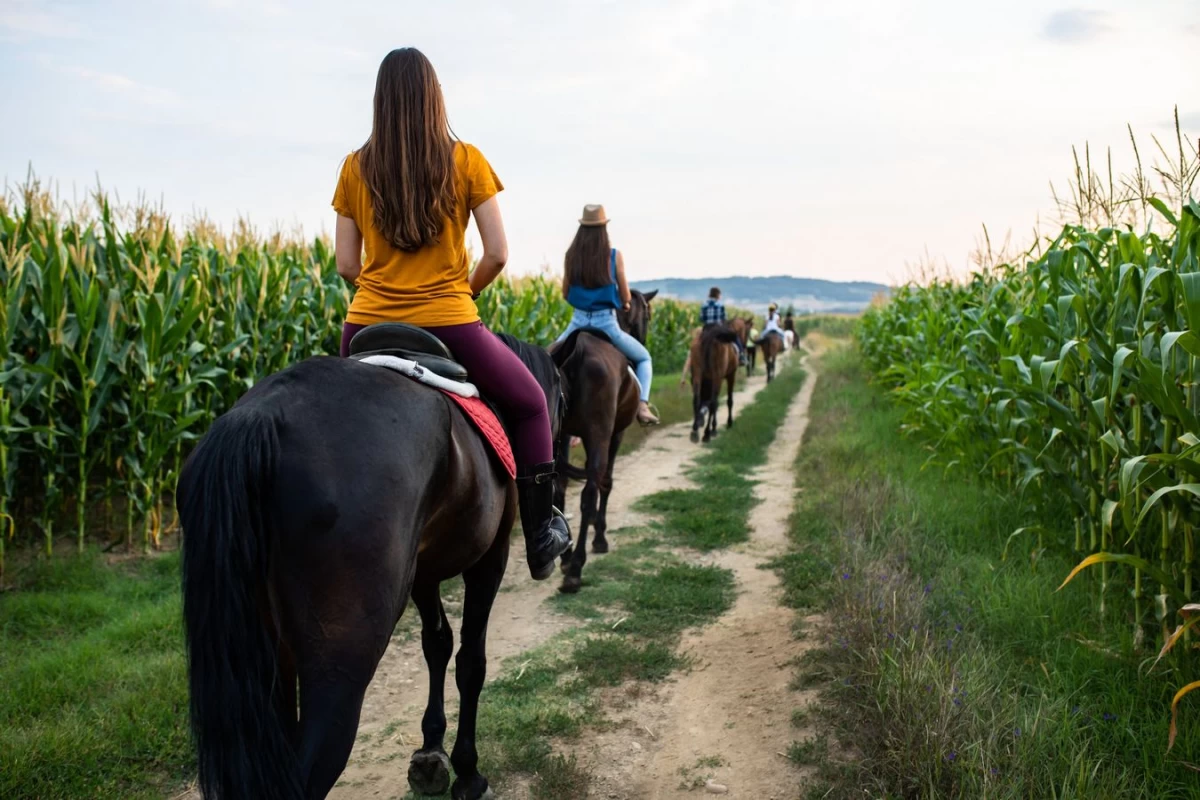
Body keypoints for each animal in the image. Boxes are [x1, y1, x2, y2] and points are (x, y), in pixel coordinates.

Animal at [176, 335, 561, 800]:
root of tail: (261, 417)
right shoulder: (490, 557)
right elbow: (472, 661)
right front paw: (468, 772)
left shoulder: (423, 571)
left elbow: (437, 645)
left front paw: (431, 753)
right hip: (341, 659)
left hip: (266, 657)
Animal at [549, 289, 657, 594]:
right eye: (648, 314)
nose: (644, 337)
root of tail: (577, 352)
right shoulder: (613, 433)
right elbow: (605, 482)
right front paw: (600, 536)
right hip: (601, 433)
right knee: (589, 492)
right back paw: (575, 568)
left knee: (559, 488)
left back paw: (566, 558)